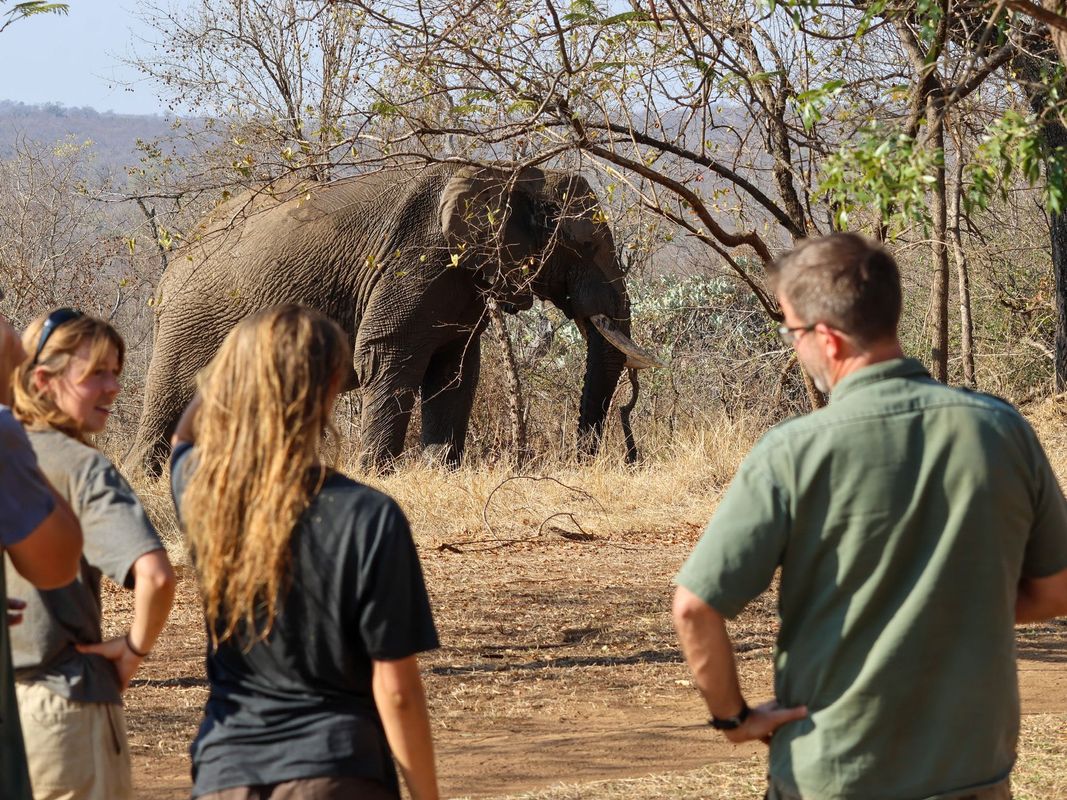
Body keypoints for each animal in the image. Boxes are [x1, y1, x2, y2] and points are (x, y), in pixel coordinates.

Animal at [127, 162, 658, 476]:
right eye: (585, 245)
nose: (591, 461)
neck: (505, 173)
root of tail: (172, 264)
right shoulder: (414, 263)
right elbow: (388, 358)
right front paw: (378, 476)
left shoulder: (461, 283)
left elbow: (456, 371)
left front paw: (442, 472)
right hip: (190, 322)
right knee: (169, 404)